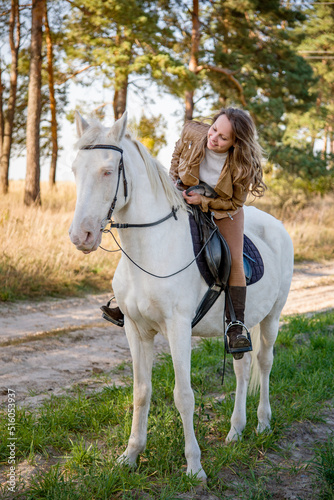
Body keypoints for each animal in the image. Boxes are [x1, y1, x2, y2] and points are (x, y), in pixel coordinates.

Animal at [70, 112, 292, 480]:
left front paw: (194, 466)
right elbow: (141, 393)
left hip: (272, 316)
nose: (81, 236)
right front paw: (130, 456)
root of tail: (277, 225)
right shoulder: (136, 331)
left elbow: (183, 395)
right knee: (243, 367)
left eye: (107, 171)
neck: (149, 249)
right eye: (74, 169)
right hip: (240, 324)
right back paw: (236, 430)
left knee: (265, 362)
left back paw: (262, 423)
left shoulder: (178, 329)